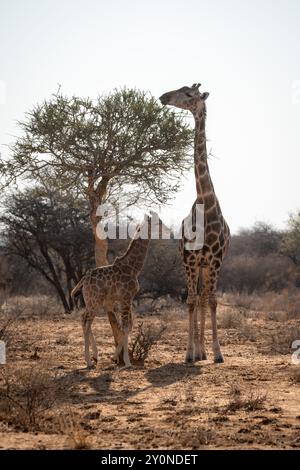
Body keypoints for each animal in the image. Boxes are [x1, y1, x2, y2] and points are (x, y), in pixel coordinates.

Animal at [71, 212, 157, 368]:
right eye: (158, 222)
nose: (169, 230)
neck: (133, 268)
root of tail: (83, 281)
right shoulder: (126, 298)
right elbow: (125, 326)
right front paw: (127, 362)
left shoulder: (128, 299)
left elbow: (129, 326)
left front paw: (115, 357)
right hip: (95, 302)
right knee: (87, 321)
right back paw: (88, 361)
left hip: (91, 302)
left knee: (83, 318)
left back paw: (95, 356)